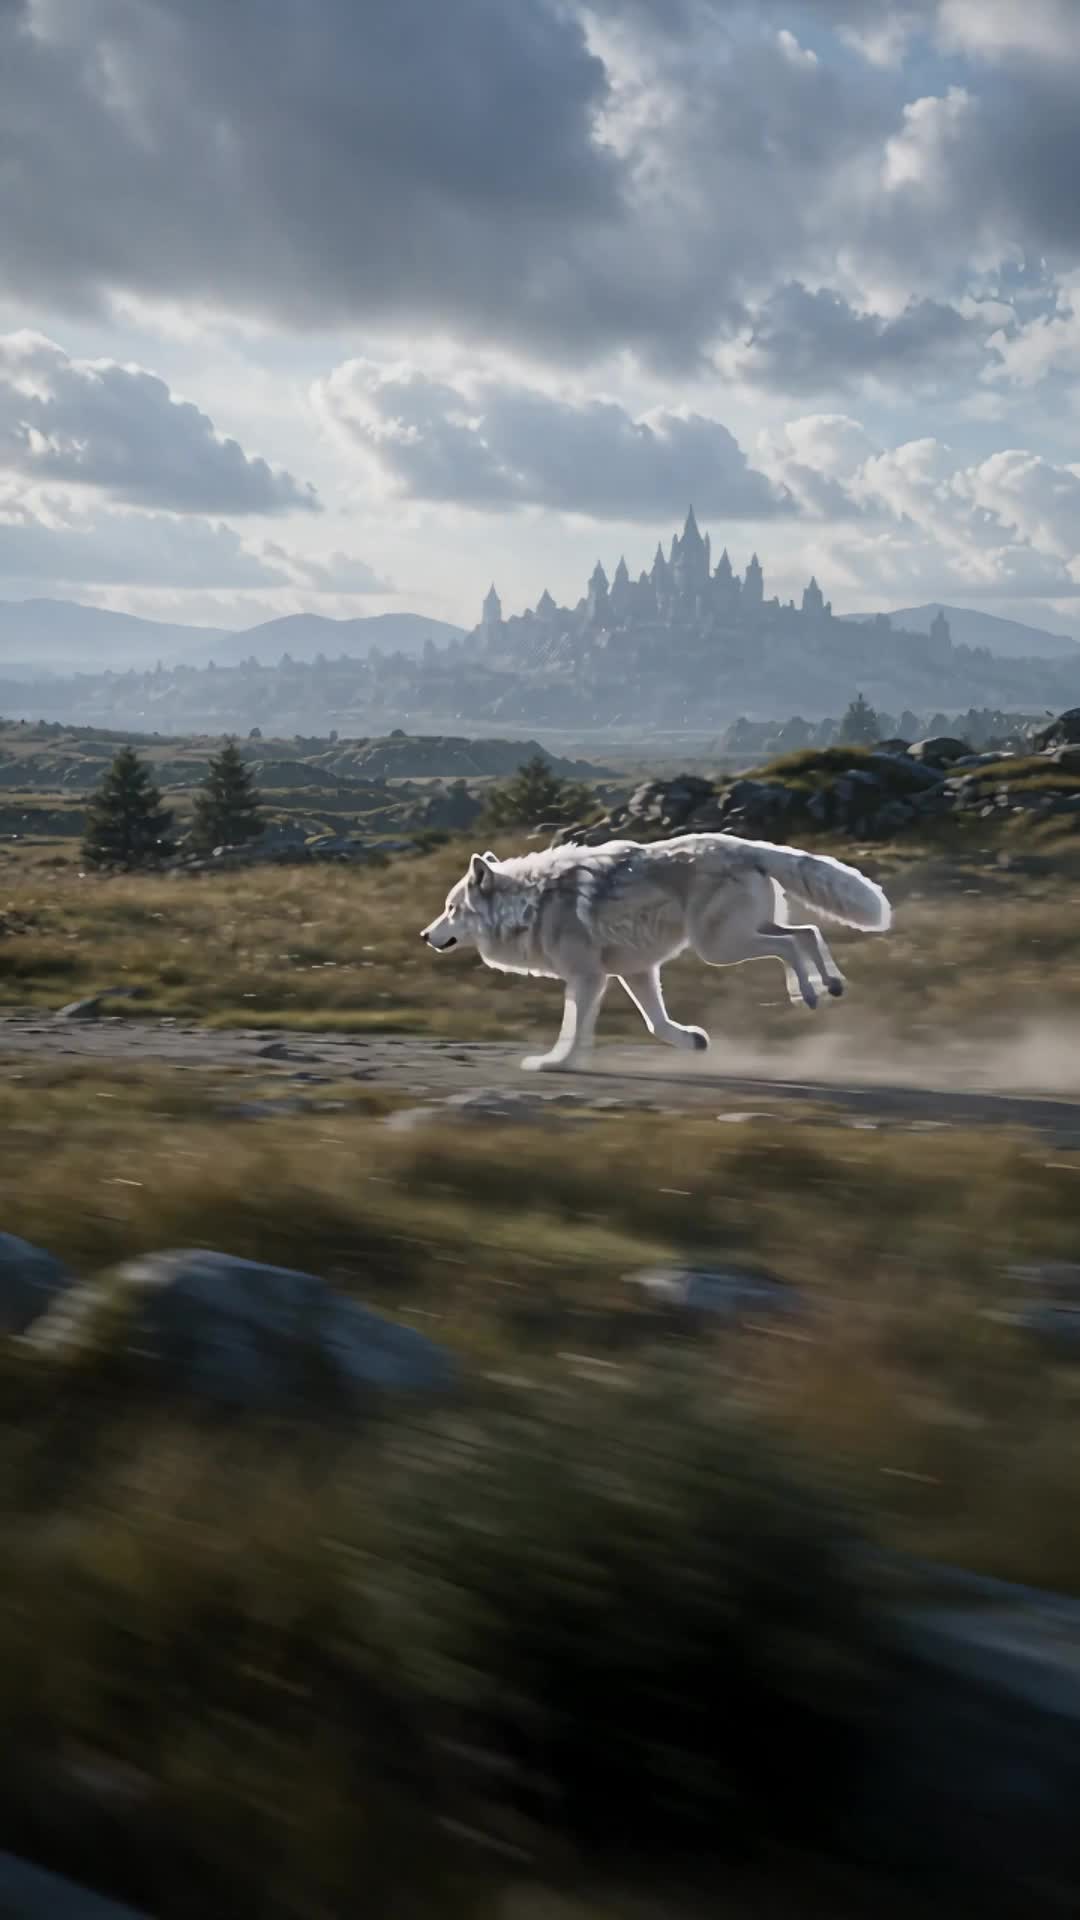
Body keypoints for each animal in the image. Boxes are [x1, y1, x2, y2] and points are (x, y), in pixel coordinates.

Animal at [420, 833, 891, 1072]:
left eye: (450, 909)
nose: (425, 935)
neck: (531, 903)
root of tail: (746, 845)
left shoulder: (587, 978)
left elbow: (571, 1029)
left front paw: (554, 1063)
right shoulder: (635, 972)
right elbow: (657, 1025)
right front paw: (693, 1041)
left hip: (719, 948)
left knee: (790, 943)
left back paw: (807, 994)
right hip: (739, 936)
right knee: (807, 932)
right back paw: (828, 985)